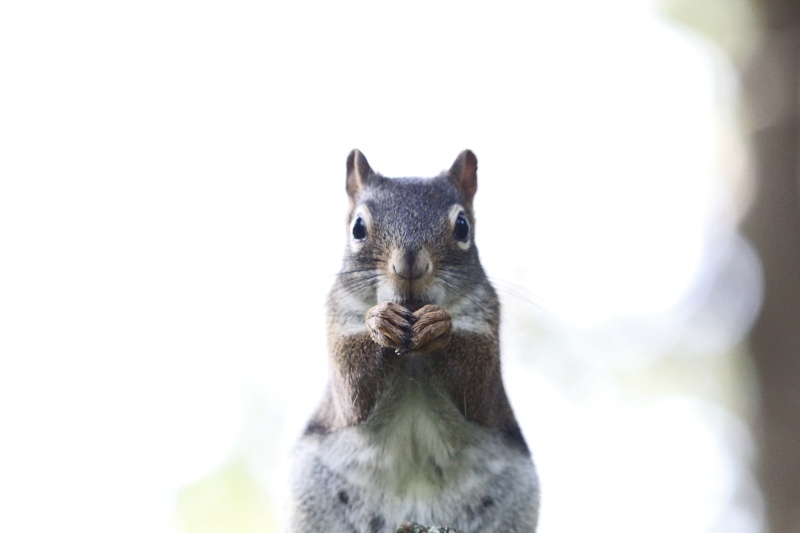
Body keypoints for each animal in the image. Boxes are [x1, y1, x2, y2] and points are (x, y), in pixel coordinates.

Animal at [284, 148, 540, 528]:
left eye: (462, 226)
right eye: (358, 227)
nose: (409, 265)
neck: (413, 353)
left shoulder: (487, 328)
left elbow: (478, 388)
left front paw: (438, 326)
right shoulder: (336, 322)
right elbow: (351, 392)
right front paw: (381, 322)